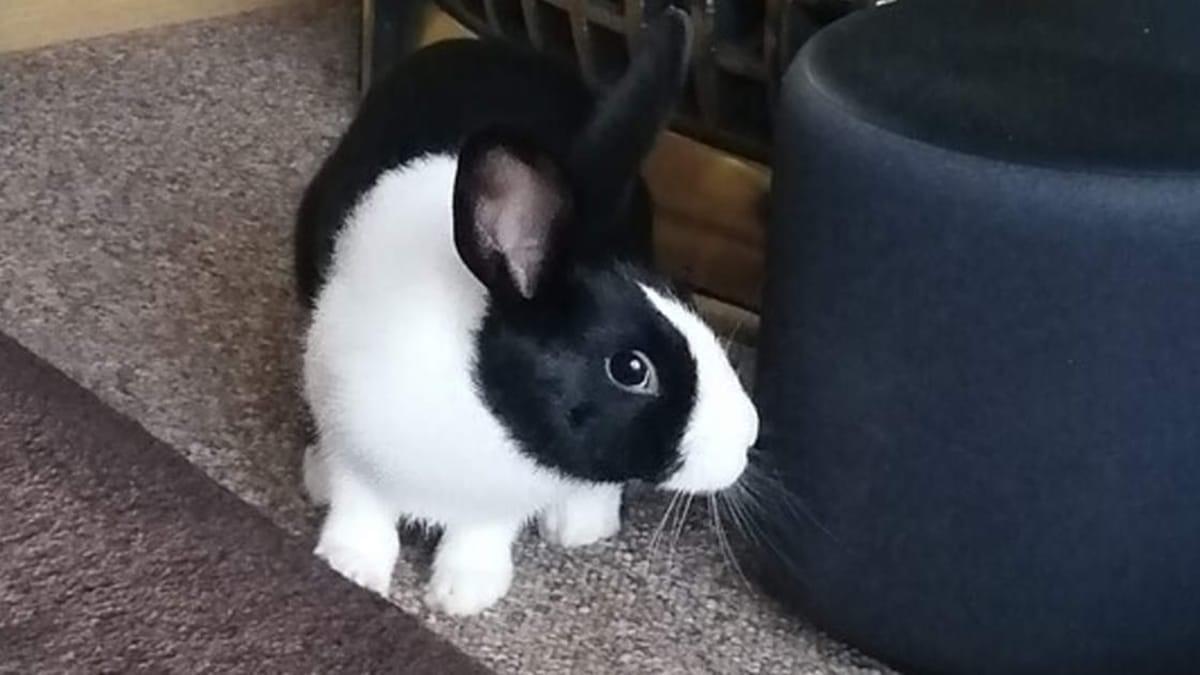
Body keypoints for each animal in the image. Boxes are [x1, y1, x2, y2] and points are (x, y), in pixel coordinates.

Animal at [294, 8, 759, 616]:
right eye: (631, 369)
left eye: (689, 299)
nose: (748, 437)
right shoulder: (353, 438)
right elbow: (362, 509)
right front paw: (351, 569)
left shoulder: (500, 501)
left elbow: (481, 533)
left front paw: (464, 592)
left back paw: (582, 523)